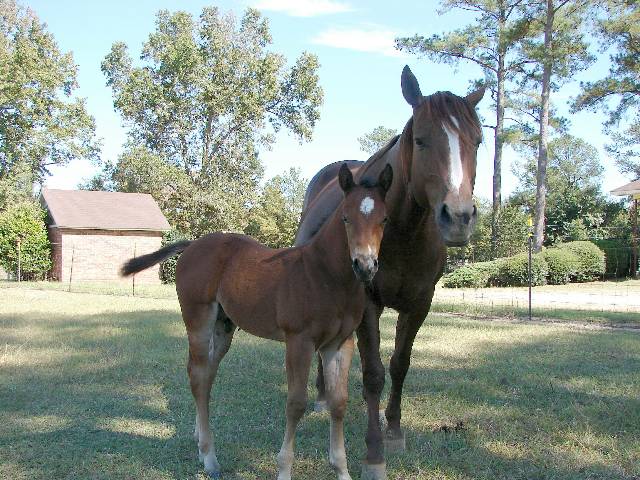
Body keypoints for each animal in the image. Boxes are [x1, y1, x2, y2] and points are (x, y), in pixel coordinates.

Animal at [119, 163, 390, 478]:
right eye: (346, 217)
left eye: (384, 219)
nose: (365, 266)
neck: (325, 275)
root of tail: (192, 245)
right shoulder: (299, 341)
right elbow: (295, 403)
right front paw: (283, 470)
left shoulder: (340, 342)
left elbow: (339, 402)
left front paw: (342, 470)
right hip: (197, 317)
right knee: (197, 374)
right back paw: (209, 458)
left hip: (224, 326)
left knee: (207, 375)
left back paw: (200, 440)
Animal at [296, 64, 484, 480]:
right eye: (421, 140)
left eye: (478, 141)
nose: (458, 218)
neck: (403, 230)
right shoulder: (368, 304)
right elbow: (373, 375)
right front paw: (374, 452)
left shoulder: (420, 304)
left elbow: (399, 365)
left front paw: (395, 431)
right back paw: (322, 396)